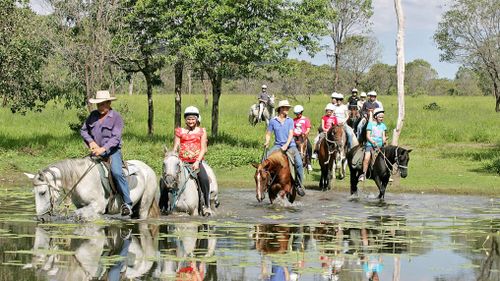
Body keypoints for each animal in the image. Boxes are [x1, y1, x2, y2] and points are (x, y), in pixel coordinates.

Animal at [23, 156, 160, 220]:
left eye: (42, 192)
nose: (40, 218)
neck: (81, 179)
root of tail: (148, 168)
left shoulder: (97, 207)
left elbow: (79, 214)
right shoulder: (81, 205)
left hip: (144, 206)